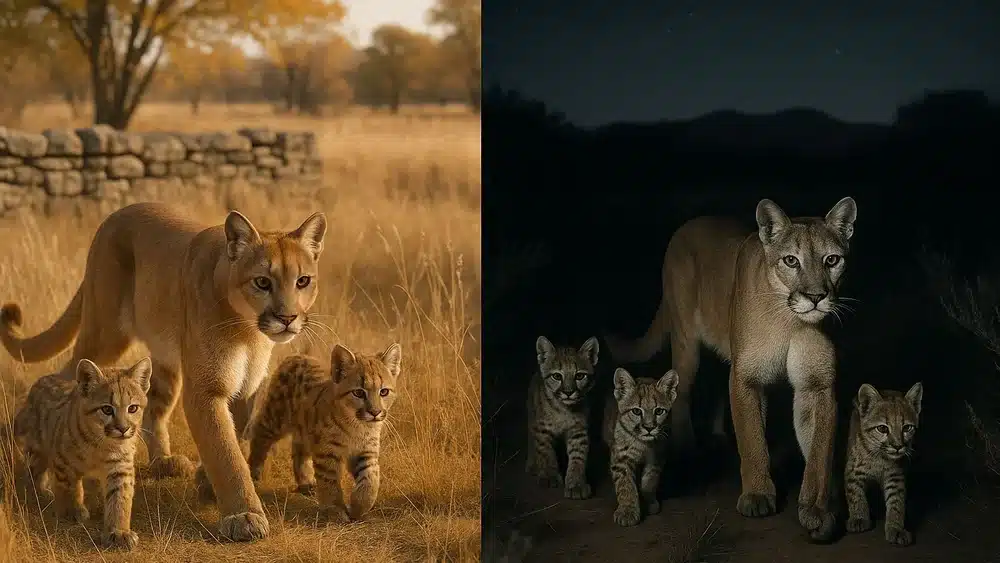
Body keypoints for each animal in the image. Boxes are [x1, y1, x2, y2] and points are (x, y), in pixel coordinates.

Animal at [0, 202, 327, 542]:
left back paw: (164, 463)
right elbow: (225, 453)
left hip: (164, 361)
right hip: (105, 334)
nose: (288, 318)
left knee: (151, 408)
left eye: (303, 281)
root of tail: (117, 214)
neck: (247, 330)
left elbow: (234, 439)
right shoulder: (205, 390)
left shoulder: (246, 389)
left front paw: (207, 484)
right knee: (70, 376)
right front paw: (243, 516)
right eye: (262, 282)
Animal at [605, 197, 857, 541]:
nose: (816, 297)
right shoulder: (745, 376)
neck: (789, 321)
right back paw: (689, 449)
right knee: (681, 393)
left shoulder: (816, 385)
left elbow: (819, 450)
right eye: (791, 261)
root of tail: (688, 225)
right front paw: (758, 496)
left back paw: (717, 435)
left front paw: (818, 511)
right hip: (686, 343)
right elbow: (752, 439)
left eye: (832, 260)